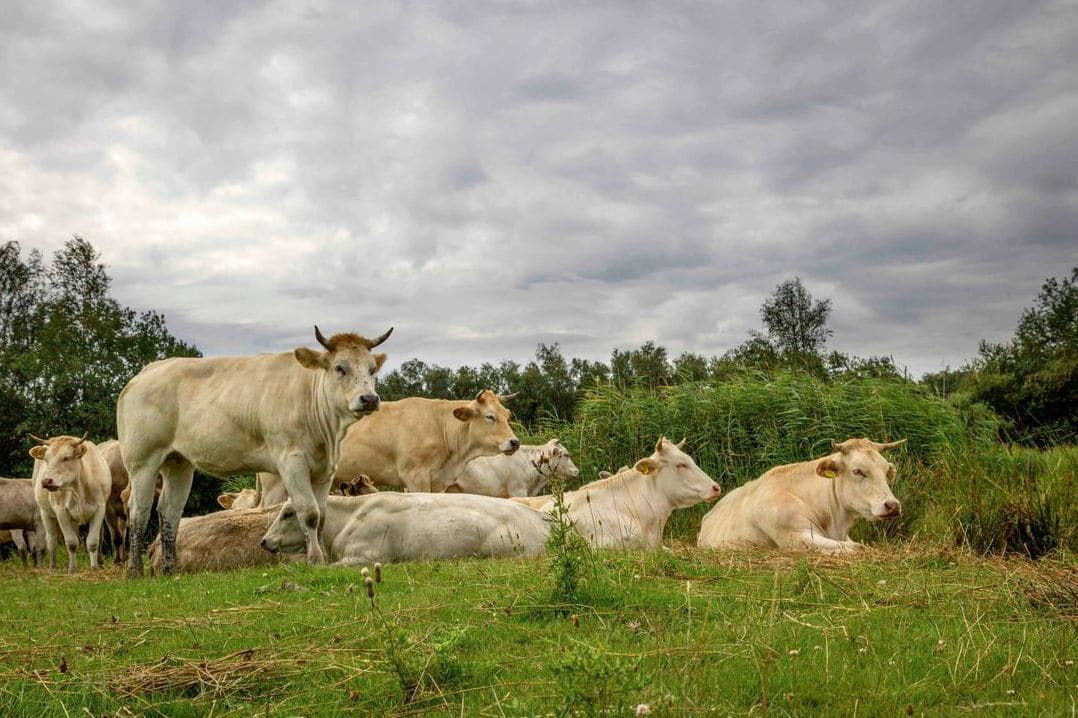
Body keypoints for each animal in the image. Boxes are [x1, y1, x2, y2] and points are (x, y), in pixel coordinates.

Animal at [30, 434, 113, 572]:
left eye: (66, 458)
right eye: (46, 459)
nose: (46, 481)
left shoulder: (100, 508)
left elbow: (93, 542)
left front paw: (94, 568)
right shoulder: (61, 511)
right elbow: (71, 543)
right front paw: (72, 569)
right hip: (45, 512)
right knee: (51, 540)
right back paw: (52, 568)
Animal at [117, 325, 392, 576]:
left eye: (372, 369)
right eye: (339, 367)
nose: (369, 399)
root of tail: (147, 372)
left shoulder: (325, 469)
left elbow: (322, 516)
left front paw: (322, 553)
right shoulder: (291, 461)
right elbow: (309, 512)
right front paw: (315, 558)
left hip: (178, 463)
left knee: (169, 512)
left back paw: (169, 570)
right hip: (142, 461)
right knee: (139, 510)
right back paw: (134, 571)